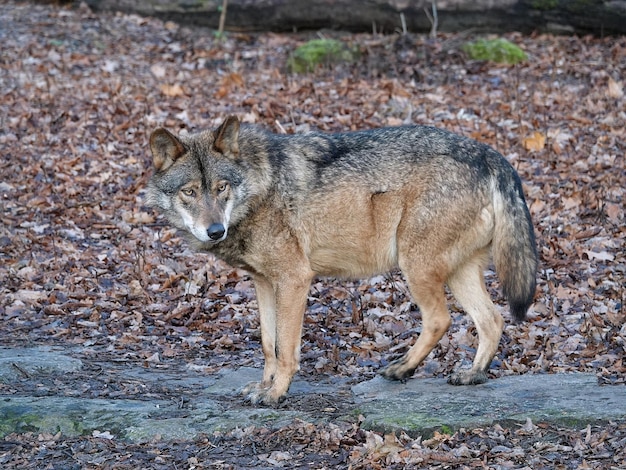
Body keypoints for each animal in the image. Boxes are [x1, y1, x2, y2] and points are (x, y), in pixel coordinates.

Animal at [146, 115, 536, 406]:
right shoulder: (264, 282)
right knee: (492, 319)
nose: (214, 231)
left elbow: (285, 348)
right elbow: (268, 344)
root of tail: (490, 154)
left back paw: (403, 369)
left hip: (416, 266)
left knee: (441, 320)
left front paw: (276, 393)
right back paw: (471, 374)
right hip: (455, 273)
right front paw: (263, 386)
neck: (262, 185)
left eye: (221, 187)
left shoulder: (295, 279)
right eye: (190, 191)